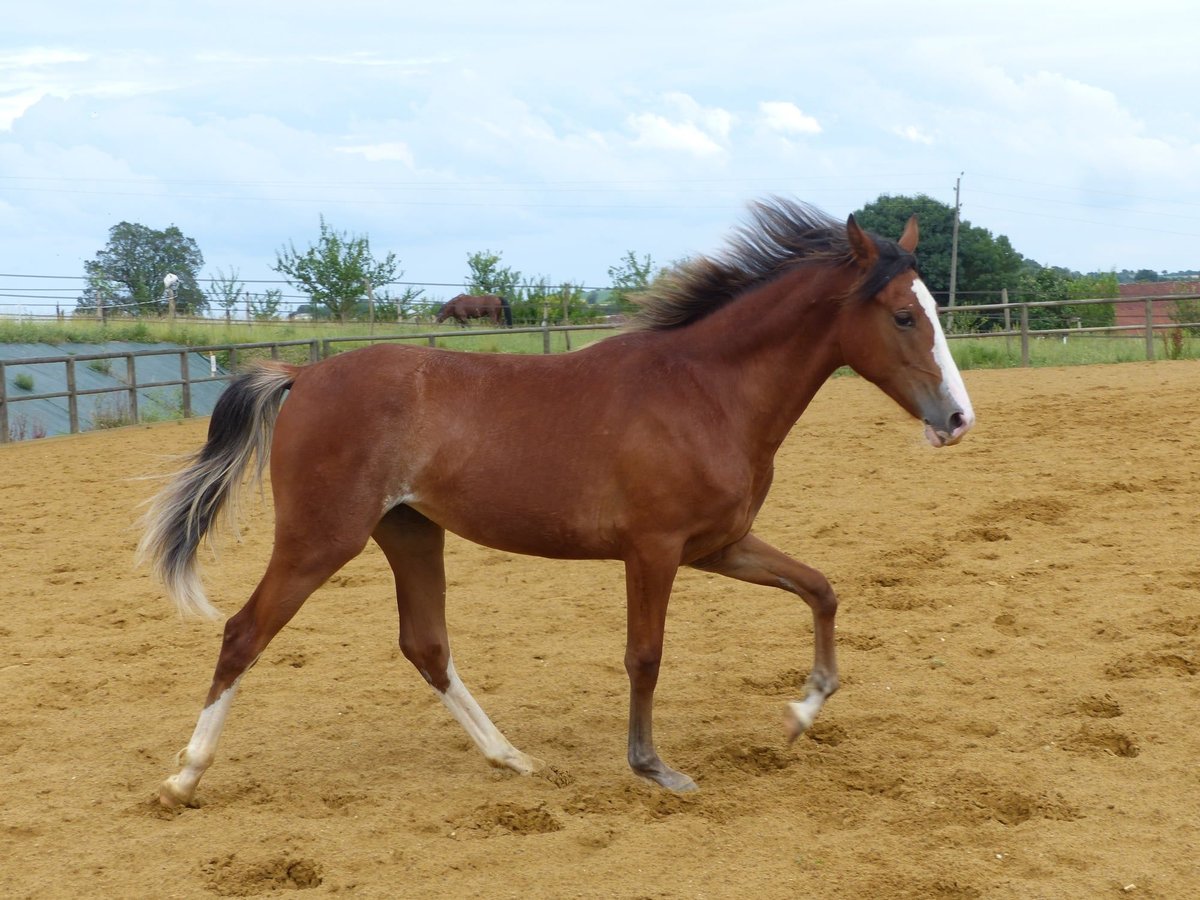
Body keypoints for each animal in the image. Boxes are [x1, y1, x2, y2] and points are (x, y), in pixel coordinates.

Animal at [142, 199, 974, 811]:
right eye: (904, 315)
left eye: (934, 308)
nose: (958, 418)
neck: (705, 390)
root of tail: (304, 377)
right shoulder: (655, 550)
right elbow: (645, 655)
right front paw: (654, 768)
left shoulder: (719, 545)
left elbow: (820, 588)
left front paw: (800, 714)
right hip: (321, 537)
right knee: (245, 632)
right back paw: (183, 777)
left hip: (409, 532)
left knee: (426, 645)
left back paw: (511, 758)